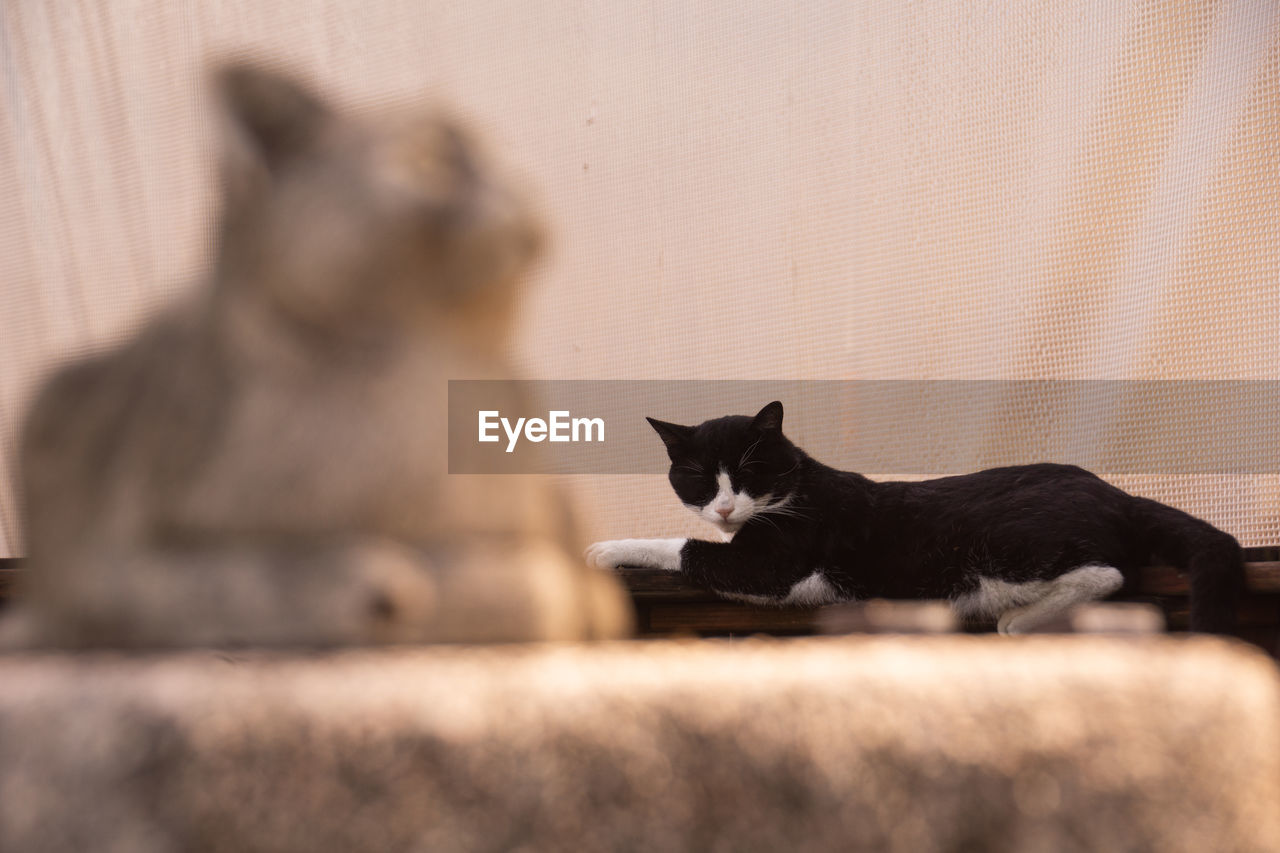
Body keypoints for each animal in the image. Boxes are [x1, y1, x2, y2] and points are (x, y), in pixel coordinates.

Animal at [5, 61, 629, 645]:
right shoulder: (117, 565)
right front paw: (373, 586)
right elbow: (249, 583)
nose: (518, 182)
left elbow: (541, 586)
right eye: (430, 158)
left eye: (500, 158)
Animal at [586, 399, 1239, 630]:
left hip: (1003, 542)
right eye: (700, 478)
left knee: (1107, 572)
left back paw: (1019, 621)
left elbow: (687, 548)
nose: (724, 505)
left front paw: (603, 549)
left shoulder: (775, 566)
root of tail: (1118, 494)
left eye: (749, 475)